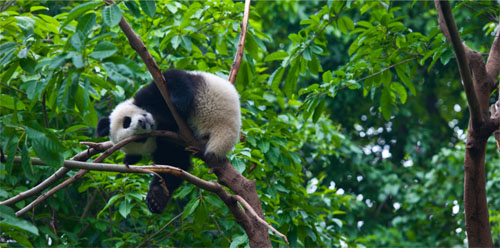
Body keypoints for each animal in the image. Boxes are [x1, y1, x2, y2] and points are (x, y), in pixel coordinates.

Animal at [96, 69, 241, 214]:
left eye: (126, 122)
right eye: (140, 139)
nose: (142, 123)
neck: (159, 120)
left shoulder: (150, 95)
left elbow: (171, 78)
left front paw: (178, 102)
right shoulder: (166, 143)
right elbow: (173, 164)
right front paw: (155, 199)